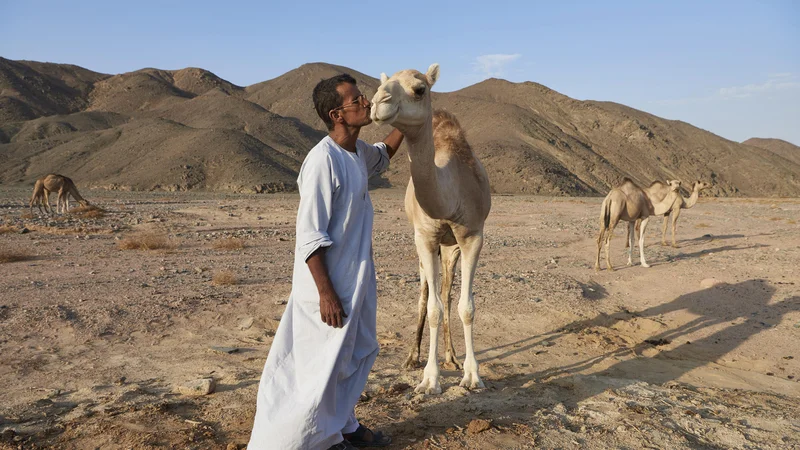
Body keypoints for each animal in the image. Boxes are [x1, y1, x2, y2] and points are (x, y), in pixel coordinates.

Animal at [370, 64, 494, 394]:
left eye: (419, 89)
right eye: (384, 82)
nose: (377, 102)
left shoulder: (472, 235)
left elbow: (466, 307)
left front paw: (472, 375)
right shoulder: (424, 237)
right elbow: (433, 308)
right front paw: (429, 378)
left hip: (450, 246)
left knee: (447, 292)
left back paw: (451, 356)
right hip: (426, 246)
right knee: (426, 293)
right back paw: (413, 356)